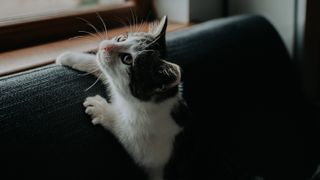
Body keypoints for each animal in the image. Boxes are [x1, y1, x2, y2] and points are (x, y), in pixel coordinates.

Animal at [56, 16, 184, 179]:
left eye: (127, 59)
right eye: (121, 38)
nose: (105, 46)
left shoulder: (156, 152)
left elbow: (128, 135)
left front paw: (101, 109)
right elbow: (102, 68)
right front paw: (68, 56)